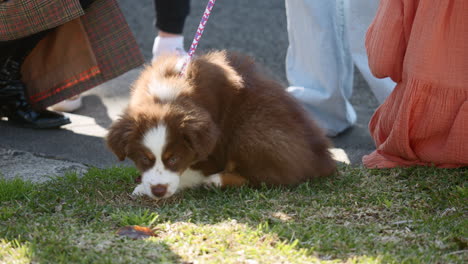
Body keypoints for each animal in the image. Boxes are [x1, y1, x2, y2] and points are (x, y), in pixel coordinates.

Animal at [105, 51, 334, 200]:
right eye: (144, 158)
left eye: (175, 158)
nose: (158, 191)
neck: (167, 96)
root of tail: (321, 158)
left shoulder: (214, 149)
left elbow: (189, 172)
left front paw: (143, 189)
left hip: (251, 130)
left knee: (271, 177)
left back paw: (215, 181)